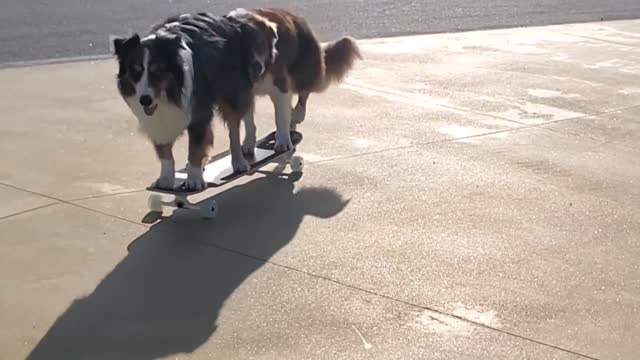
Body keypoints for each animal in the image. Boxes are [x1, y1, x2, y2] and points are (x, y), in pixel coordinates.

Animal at [111, 7, 360, 191]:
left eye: (157, 71)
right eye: (135, 71)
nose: (144, 100)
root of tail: (291, 14)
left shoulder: (200, 112)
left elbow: (196, 148)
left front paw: (194, 178)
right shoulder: (159, 117)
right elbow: (165, 153)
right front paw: (166, 179)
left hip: (270, 81)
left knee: (295, 98)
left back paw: (251, 154)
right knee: (248, 120)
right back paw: (250, 146)